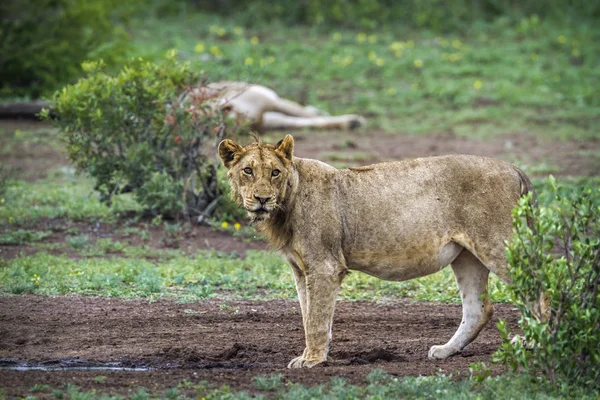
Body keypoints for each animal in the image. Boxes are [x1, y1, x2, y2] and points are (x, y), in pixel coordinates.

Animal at [219, 134, 544, 368]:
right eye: (248, 171)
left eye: (275, 172)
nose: (262, 199)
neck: (287, 203)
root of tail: (513, 167)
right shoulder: (301, 269)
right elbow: (310, 314)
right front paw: (316, 354)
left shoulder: (324, 266)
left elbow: (315, 319)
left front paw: (312, 360)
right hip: (467, 256)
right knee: (479, 309)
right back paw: (445, 351)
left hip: (499, 245)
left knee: (540, 291)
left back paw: (536, 342)